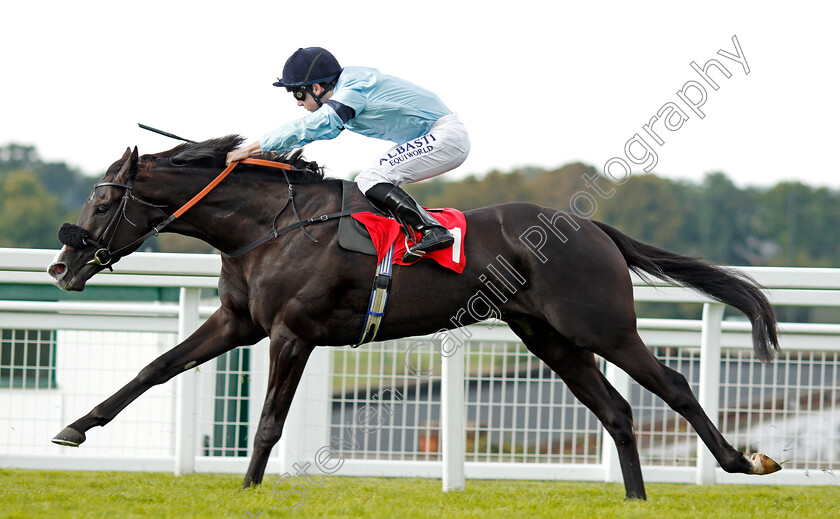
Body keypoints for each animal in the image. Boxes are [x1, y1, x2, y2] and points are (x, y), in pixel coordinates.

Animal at [44, 135, 780, 500]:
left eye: (103, 199)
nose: (59, 266)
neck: (269, 226)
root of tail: (593, 226)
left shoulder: (292, 333)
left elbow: (270, 421)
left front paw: (249, 488)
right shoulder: (237, 322)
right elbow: (154, 367)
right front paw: (75, 428)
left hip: (601, 327)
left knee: (672, 387)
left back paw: (743, 460)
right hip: (549, 338)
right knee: (618, 410)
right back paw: (634, 497)